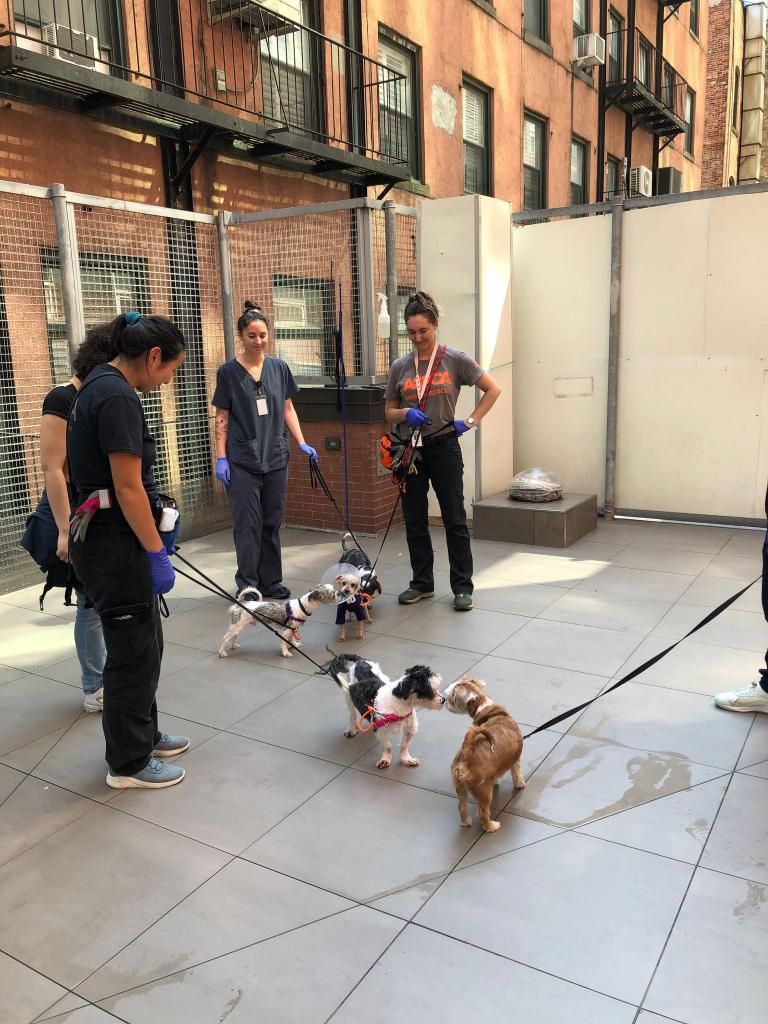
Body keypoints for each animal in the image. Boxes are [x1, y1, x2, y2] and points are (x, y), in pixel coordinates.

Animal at [442, 679, 528, 831]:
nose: (445, 700)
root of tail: (468, 751)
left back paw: (466, 822)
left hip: (460, 786)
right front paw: (520, 784)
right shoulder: (515, 760)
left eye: (452, 697)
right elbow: (517, 773)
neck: (486, 709)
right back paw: (491, 826)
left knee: (461, 806)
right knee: (482, 812)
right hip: (484, 791)